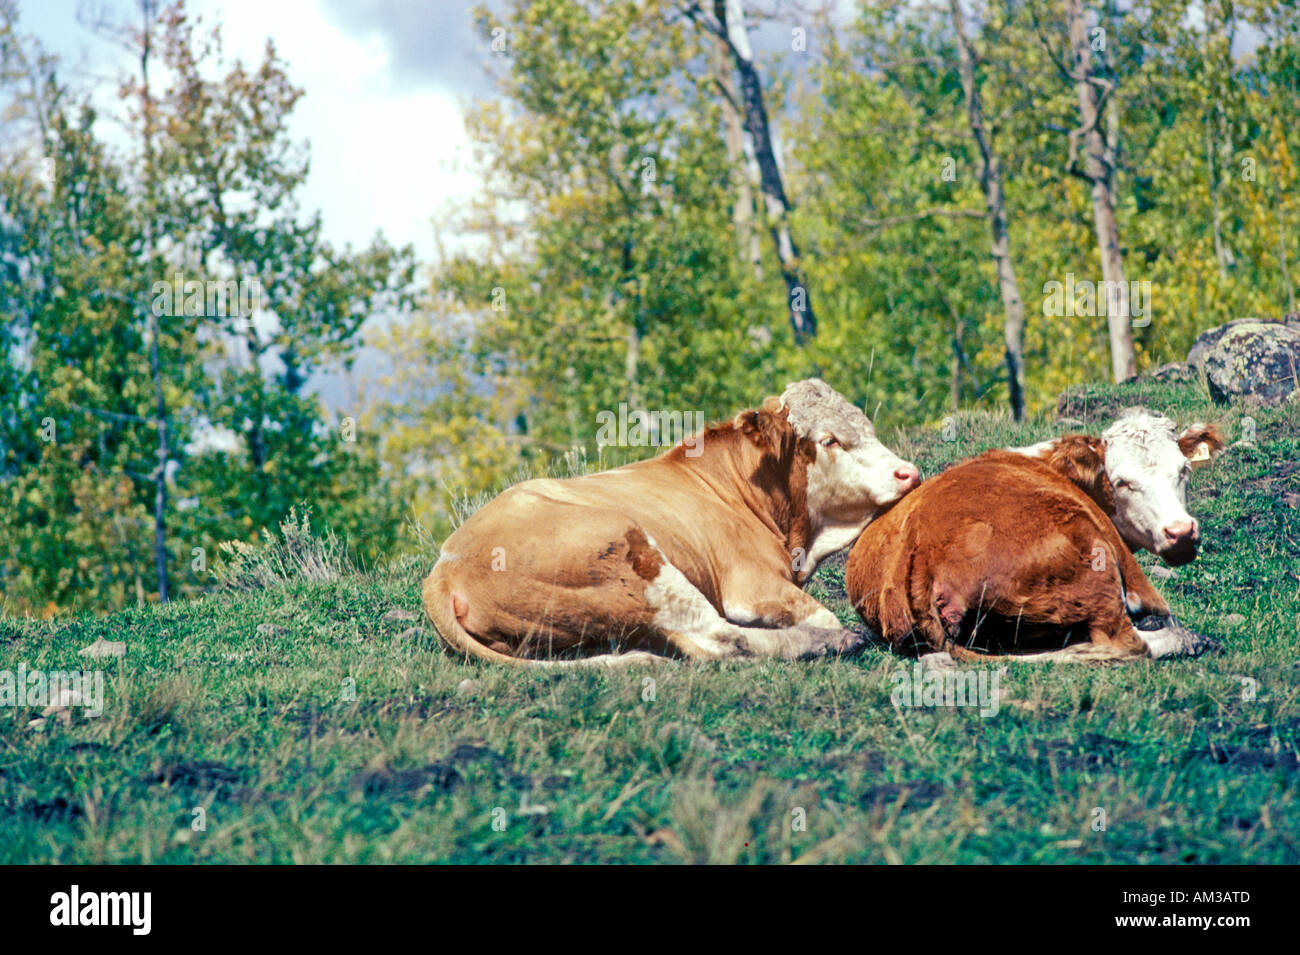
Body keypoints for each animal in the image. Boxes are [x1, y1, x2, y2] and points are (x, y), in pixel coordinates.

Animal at [424, 379, 921, 667]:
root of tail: (444, 568)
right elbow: (820, 613)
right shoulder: (752, 584)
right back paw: (831, 642)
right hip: (635, 559)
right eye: (829, 440)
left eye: (868, 426)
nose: (909, 472)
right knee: (717, 639)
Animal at [846, 409, 1225, 664]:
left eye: (1183, 470)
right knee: (1127, 642)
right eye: (1122, 482)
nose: (1180, 533)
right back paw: (1188, 638)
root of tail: (919, 550)